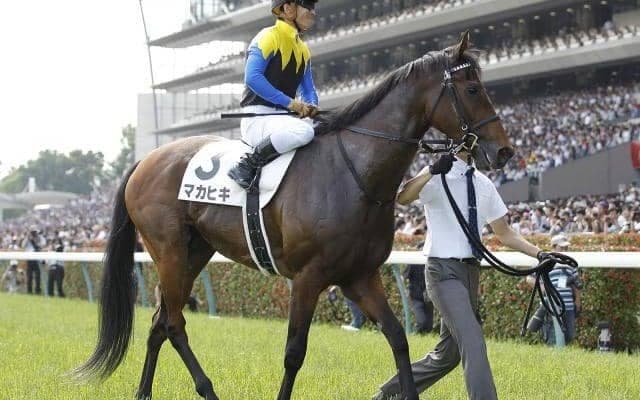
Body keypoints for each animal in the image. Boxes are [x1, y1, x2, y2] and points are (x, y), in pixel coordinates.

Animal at [75, 32, 514, 400]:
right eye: (473, 88)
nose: (504, 151)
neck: (354, 173)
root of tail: (144, 160)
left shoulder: (360, 275)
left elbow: (397, 338)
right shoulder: (307, 278)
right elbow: (294, 353)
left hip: (193, 252)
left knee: (160, 321)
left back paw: (144, 393)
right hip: (167, 249)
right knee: (173, 323)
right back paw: (207, 390)